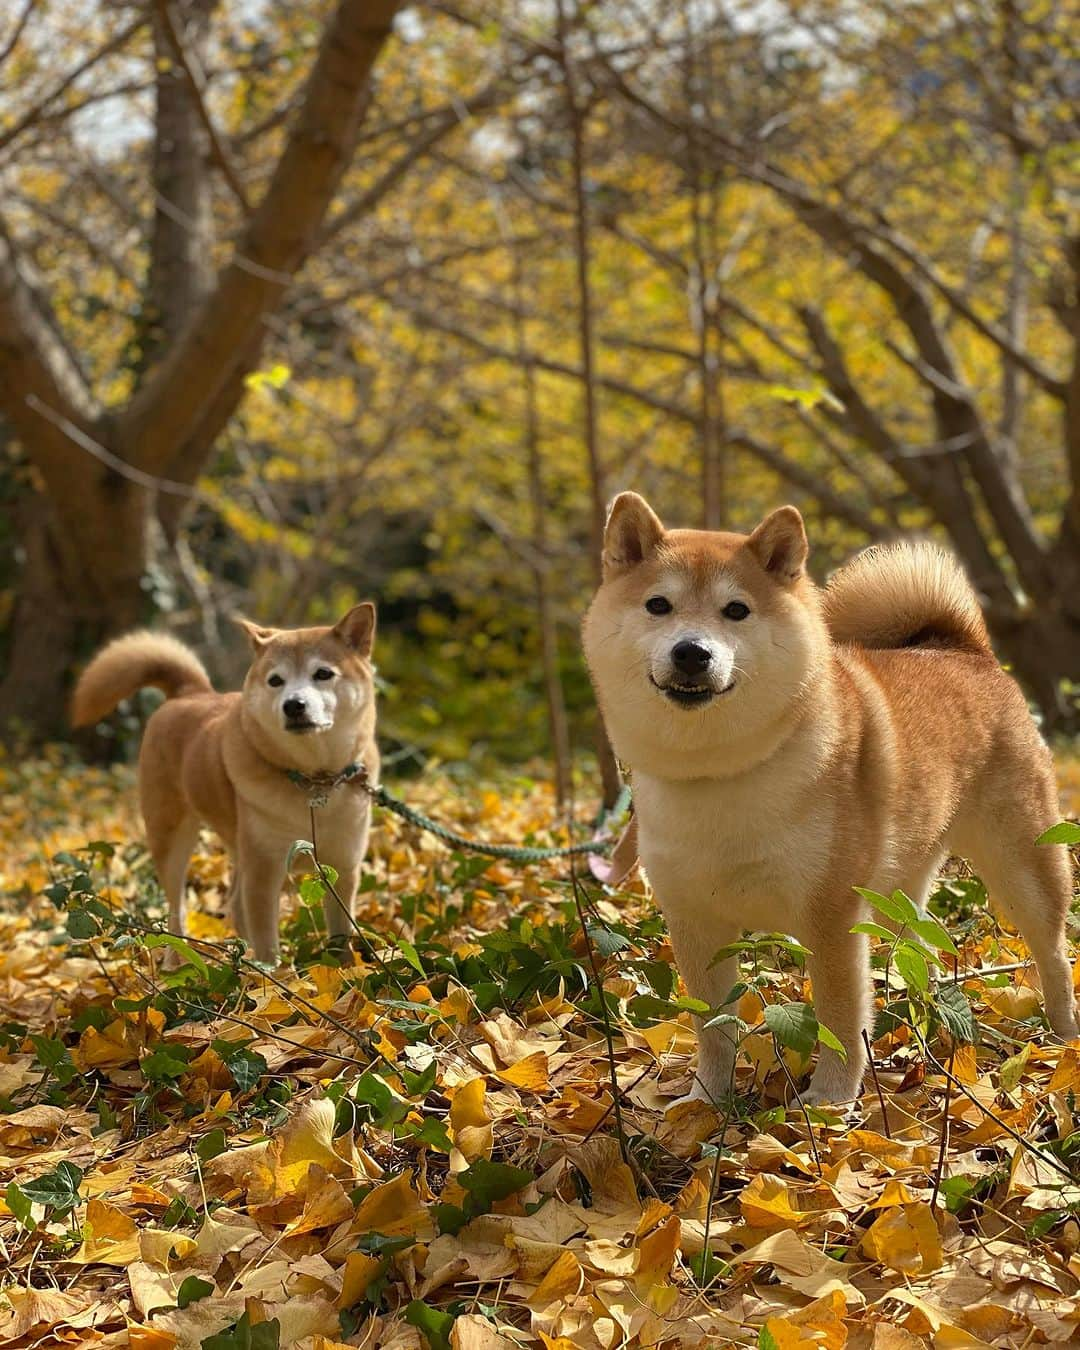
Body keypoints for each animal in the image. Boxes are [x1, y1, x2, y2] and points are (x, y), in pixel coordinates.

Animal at [71, 607, 380, 966]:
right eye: (275, 680)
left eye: (323, 673)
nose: (293, 705)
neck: (313, 781)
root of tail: (191, 693)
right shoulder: (263, 870)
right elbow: (267, 941)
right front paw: (273, 976)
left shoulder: (343, 868)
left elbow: (341, 936)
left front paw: (345, 971)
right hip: (171, 838)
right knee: (177, 911)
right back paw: (176, 961)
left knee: (232, 901)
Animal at [585, 496, 1074, 1107]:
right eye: (658, 605)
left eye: (736, 610)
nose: (692, 652)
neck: (721, 773)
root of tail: (969, 652)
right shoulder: (694, 920)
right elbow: (712, 1027)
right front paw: (703, 1103)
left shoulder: (831, 915)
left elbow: (839, 1019)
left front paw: (829, 1104)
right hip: (897, 890)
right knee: (920, 949)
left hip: (1024, 867)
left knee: (1054, 955)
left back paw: (1064, 1040)